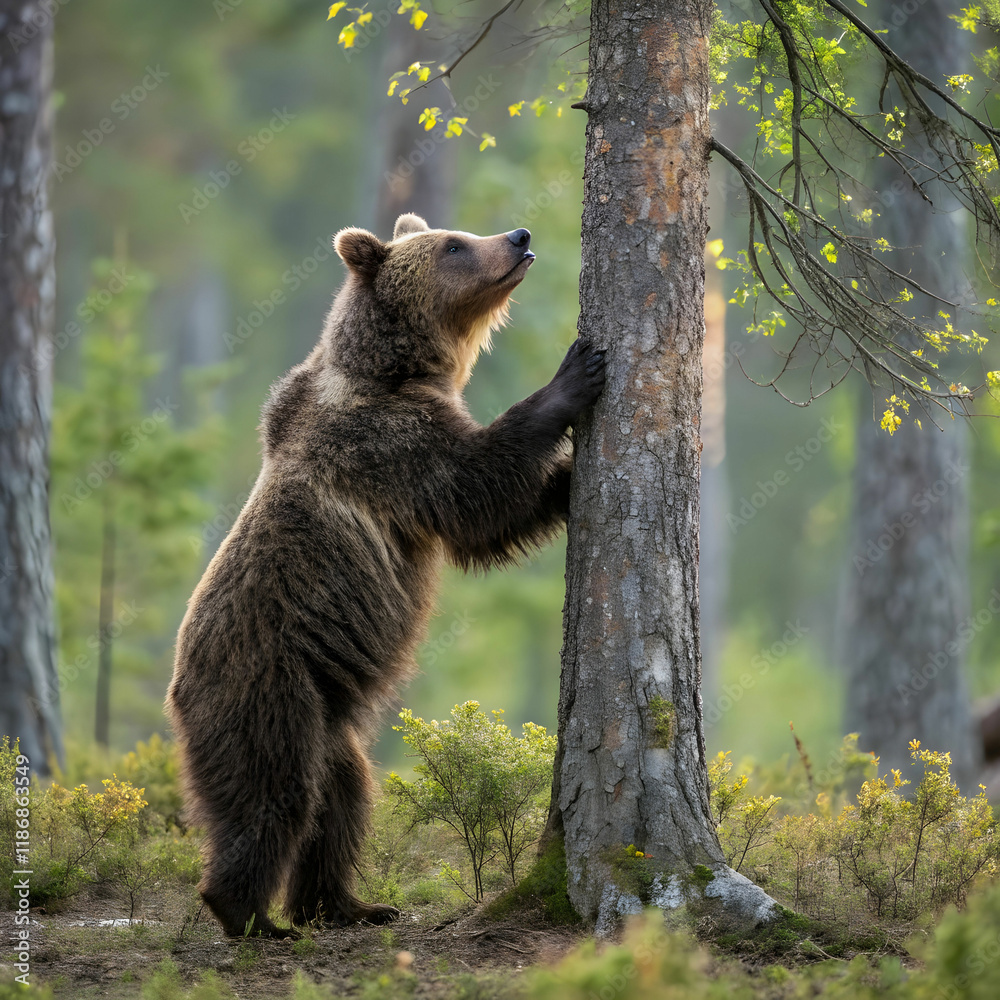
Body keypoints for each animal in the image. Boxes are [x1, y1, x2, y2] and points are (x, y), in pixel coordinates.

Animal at [165, 212, 605, 937]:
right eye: (454, 245)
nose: (517, 236)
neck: (398, 369)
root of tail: (176, 690)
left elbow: (494, 517)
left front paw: (567, 482)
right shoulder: (386, 444)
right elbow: (473, 486)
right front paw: (574, 376)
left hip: (327, 713)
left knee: (342, 794)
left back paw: (350, 904)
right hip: (266, 684)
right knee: (274, 790)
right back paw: (248, 914)